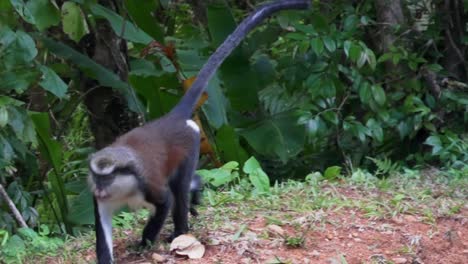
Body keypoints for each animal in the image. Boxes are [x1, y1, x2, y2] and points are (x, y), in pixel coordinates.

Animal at [88, 1, 310, 262]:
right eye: (97, 177)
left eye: (108, 177)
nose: (100, 188)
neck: (123, 187)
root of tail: (172, 118)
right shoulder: (100, 200)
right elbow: (102, 230)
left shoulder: (149, 186)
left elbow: (166, 202)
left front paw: (143, 244)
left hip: (191, 147)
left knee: (179, 190)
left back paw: (180, 232)